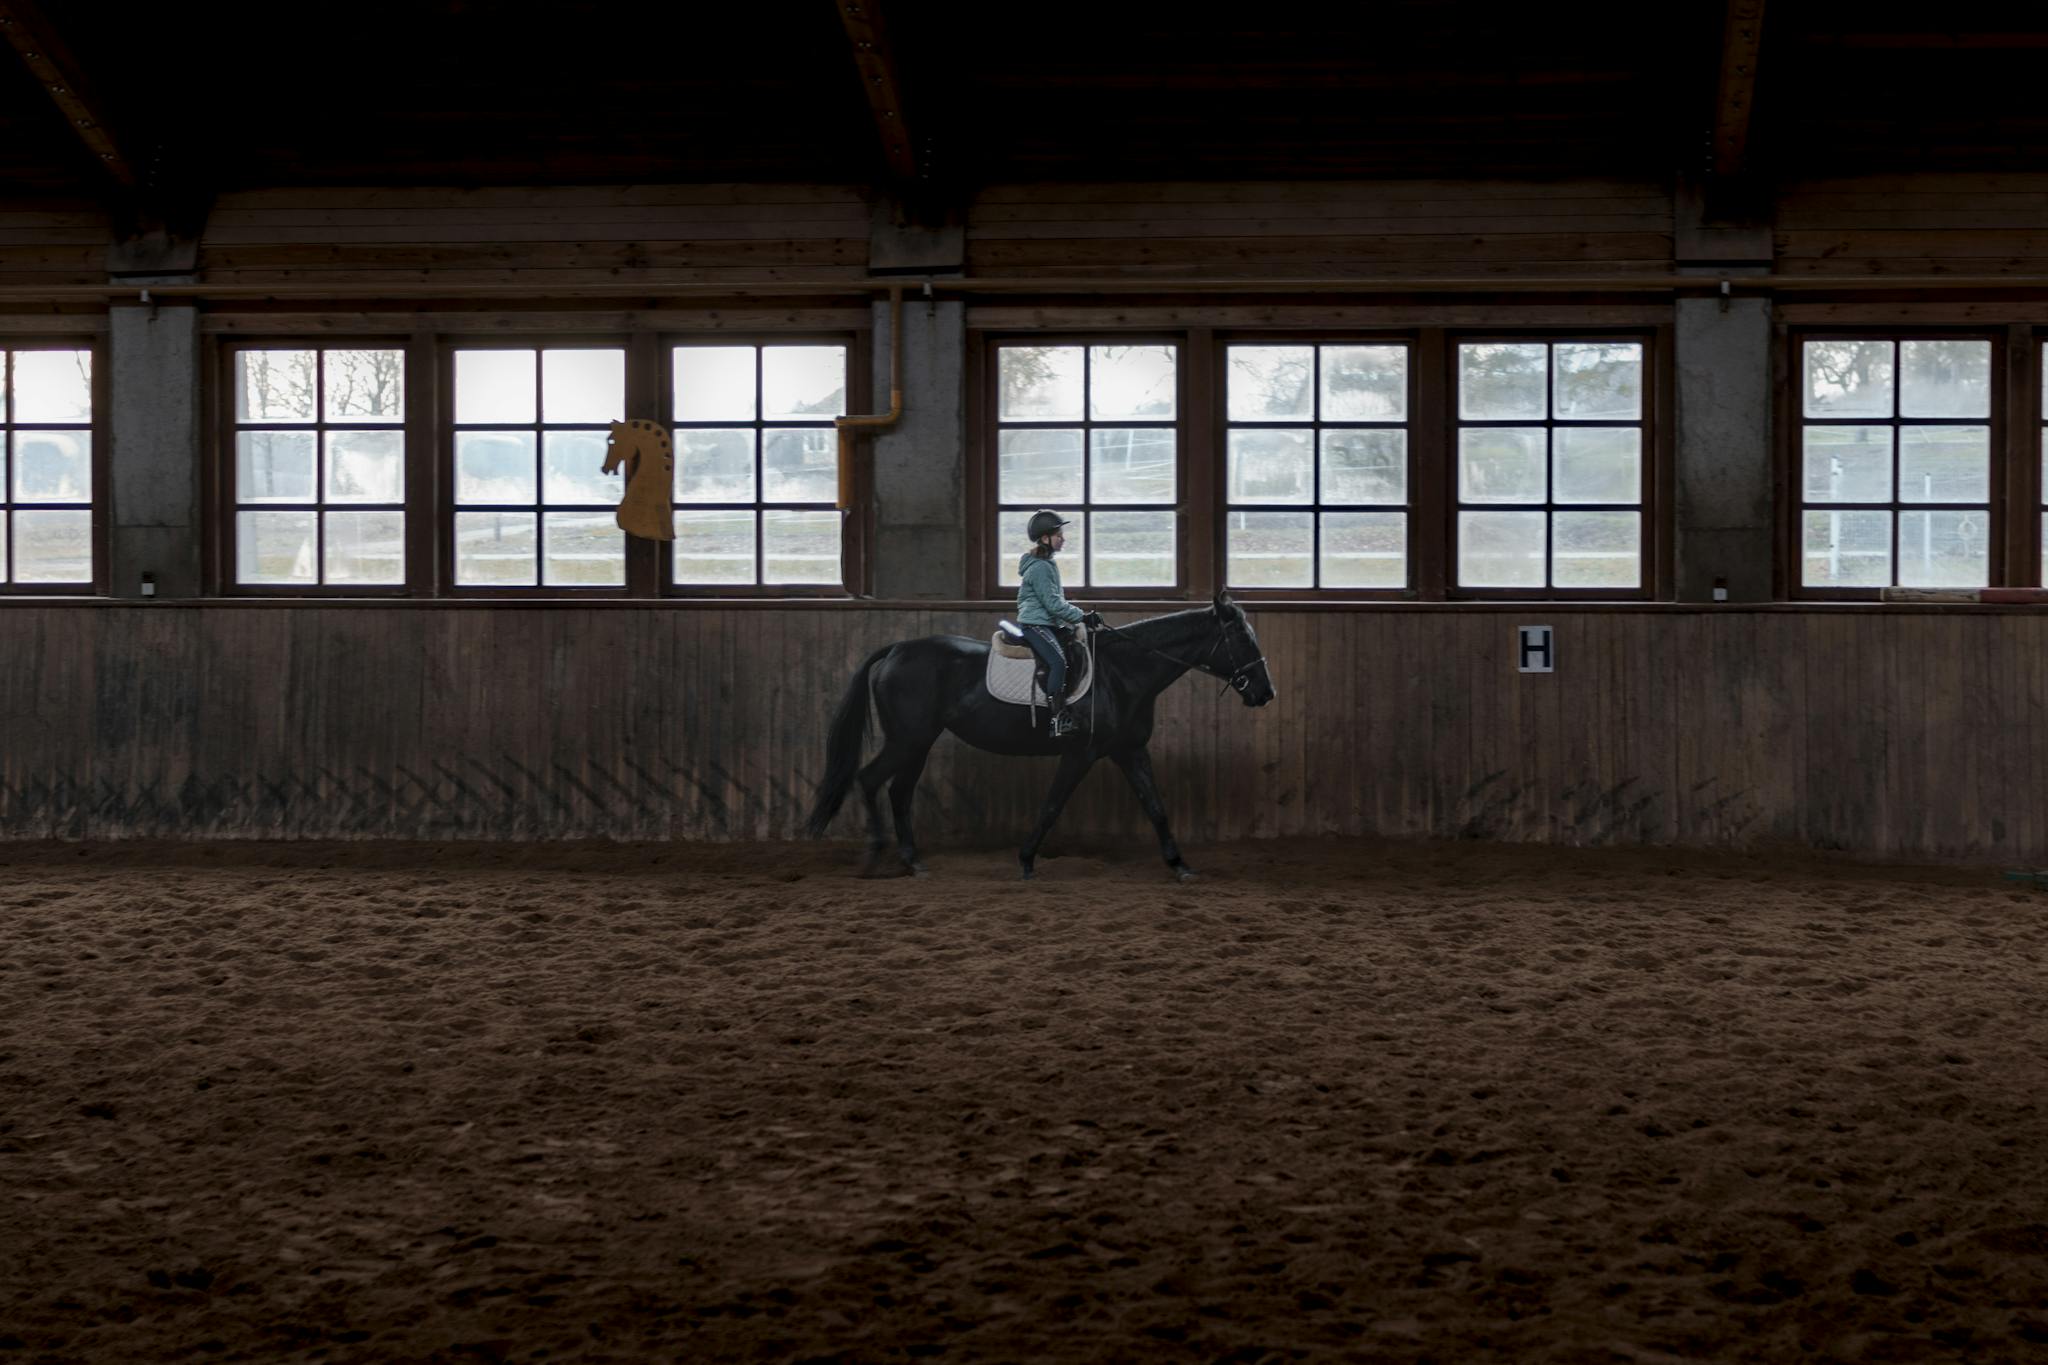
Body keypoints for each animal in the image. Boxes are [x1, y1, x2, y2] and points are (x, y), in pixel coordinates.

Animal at [804, 590, 1276, 880]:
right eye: (1241, 638)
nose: (1265, 693)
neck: (1122, 673)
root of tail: (896, 650)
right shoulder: (1082, 753)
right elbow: (1052, 806)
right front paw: (1026, 861)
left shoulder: (1129, 750)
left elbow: (1156, 807)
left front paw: (1179, 865)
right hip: (908, 740)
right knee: (870, 780)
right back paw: (874, 857)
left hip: (918, 742)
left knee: (897, 791)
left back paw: (912, 860)